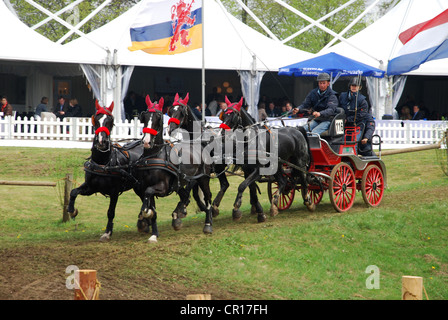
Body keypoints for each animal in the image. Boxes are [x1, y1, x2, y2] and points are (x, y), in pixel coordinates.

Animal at [67, 101, 144, 241]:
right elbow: (74, 192)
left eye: (110, 121)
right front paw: (72, 210)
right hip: (138, 187)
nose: (102, 142)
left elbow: (110, 212)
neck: (103, 163)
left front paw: (107, 232)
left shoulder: (114, 192)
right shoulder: (91, 187)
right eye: (96, 120)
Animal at [136, 94, 214, 236]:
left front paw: (145, 213)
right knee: (187, 195)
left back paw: (208, 224)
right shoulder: (145, 186)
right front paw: (151, 226)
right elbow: (148, 198)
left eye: (158, 117)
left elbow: (149, 193)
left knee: (207, 196)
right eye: (145, 116)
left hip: (203, 178)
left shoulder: (163, 187)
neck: (154, 156)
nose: (146, 141)